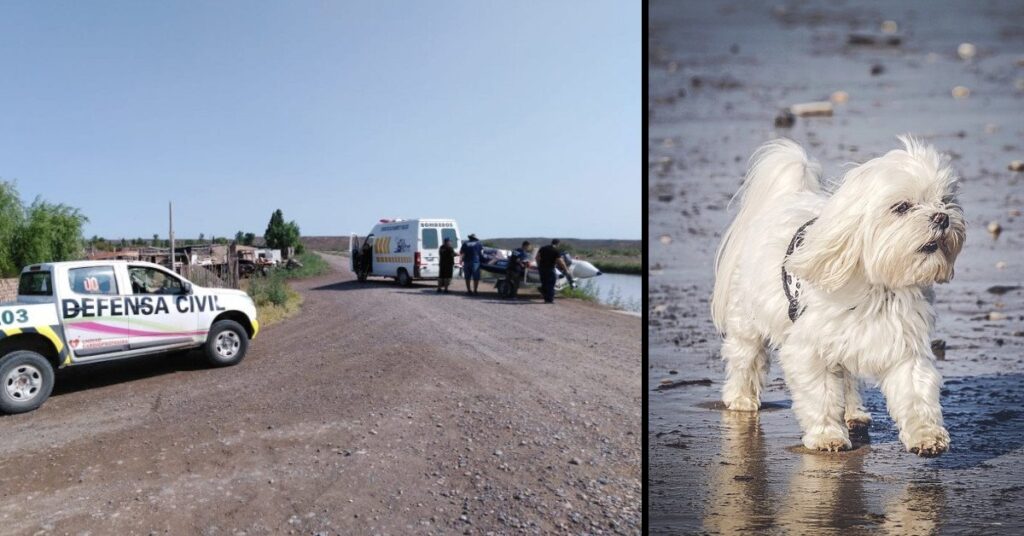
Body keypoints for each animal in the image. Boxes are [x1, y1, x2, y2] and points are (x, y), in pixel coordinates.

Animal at [716, 137, 962, 457]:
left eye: (946, 201)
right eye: (902, 207)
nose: (942, 217)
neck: (878, 286)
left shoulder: (906, 345)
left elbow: (916, 393)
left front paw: (927, 436)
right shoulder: (809, 351)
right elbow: (820, 396)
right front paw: (826, 435)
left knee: (847, 377)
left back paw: (855, 412)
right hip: (747, 319)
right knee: (746, 357)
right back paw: (741, 398)